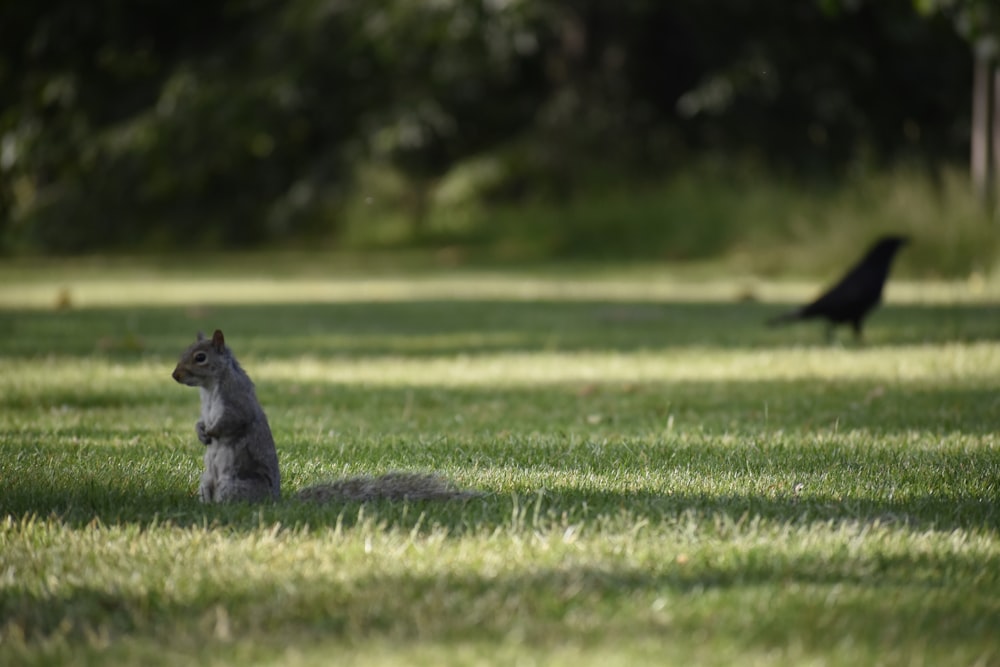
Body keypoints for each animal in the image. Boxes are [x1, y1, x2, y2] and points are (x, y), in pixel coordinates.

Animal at [173, 332, 476, 504]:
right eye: (184, 351)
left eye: (200, 357)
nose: (175, 374)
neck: (210, 387)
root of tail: (275, 502)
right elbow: (201, 420)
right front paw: (200, 430)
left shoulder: (238, 401)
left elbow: (234, 421)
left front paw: (212, 433)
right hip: (207, 483)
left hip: (234, 484)